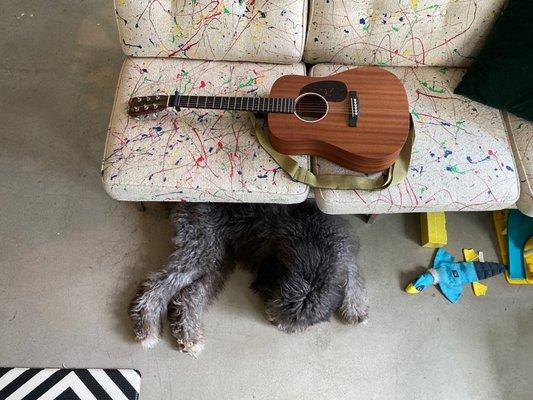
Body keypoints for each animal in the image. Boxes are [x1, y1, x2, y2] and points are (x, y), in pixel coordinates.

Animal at [129, 202, 366, 354]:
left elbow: (354, 273)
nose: (277, 325)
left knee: (189, 296)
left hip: (218, 257)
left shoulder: (344, 252)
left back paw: (189, 335)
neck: (312, 241)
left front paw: (356, 308)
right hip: (202, 247)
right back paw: (147, 327)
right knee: (156, 286)